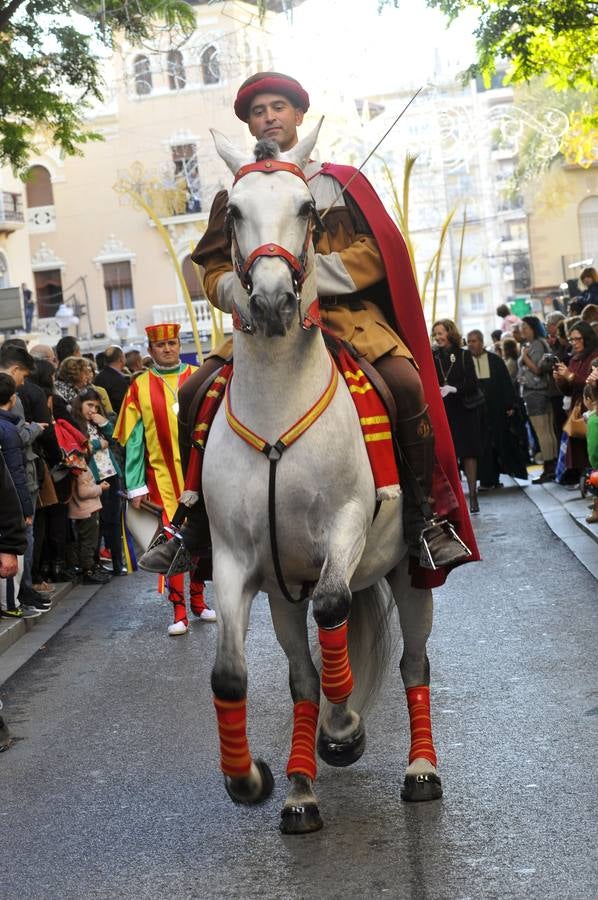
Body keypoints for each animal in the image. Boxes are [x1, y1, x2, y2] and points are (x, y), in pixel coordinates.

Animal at [204, 121, 442, 836]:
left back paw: (419, 769)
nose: (273, 301)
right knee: (302, 676)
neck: (278, 406)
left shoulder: (345, 526)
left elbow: (334, 607)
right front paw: (250, 779)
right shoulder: (237, 560)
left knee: (412, 662)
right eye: (233, 211)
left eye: (309, 209)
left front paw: (345, 729)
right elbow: (231, 677)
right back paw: (301, 791)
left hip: (408, 572)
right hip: (284, 594)